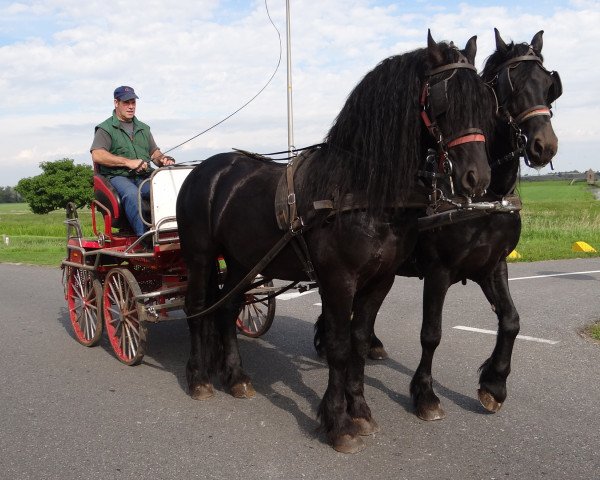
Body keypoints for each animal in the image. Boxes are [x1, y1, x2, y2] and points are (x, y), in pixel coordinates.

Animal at [177, 31, 492, 454]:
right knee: (198, 308)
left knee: (227, 309)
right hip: (199, 256)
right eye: (444, 101)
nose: (478, 178)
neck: (361, 190)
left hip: (244, 261)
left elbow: (358, 341)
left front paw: (359, 410)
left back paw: (237, 377)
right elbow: (338, 345)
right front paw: (338, 422)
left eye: (484, 99)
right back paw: (198, 379)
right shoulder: (338, 279)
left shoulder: (380, 280)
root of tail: (204, 170)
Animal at [316, 29, 560, 420]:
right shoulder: (438, 270)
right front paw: (426, 394)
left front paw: (494, 384)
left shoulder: (492, 265)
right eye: (511, 86)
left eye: (548, 85)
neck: (486, 199)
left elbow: (511, 320)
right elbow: (431, 333)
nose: (544, 146)